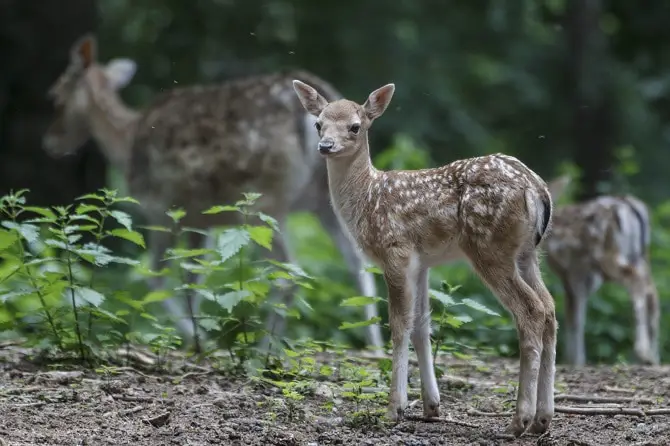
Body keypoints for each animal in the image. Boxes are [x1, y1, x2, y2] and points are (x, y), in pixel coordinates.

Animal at [42, 34, 386, 352]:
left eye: (55, 96)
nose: (51, 142)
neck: (125, 142)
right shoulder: (201, 221)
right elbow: (194, 278)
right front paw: (197, 336)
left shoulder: (162, 209)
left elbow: (156, 275)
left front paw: (197, 340)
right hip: (321, 202)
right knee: (359, 264)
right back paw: (375, 347)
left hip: (264, 201)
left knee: (289, 272)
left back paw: (264, 349)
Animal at [292, 78, 556, 438]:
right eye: (318, 124)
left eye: (355, 126)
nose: (325, 145)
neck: (367, 198)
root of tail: (537, 189)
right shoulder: (422, 262)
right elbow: (421, 325)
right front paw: (431, 406)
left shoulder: (395, 251)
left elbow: (399, 325)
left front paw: (395, 408)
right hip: (528, 254)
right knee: (550, 309)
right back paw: (543, 419)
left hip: (490, 248)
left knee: (531, 311)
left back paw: (519, 421)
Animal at [544, 176, 660, 368]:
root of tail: (630, 205)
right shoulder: (586, 276)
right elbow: (578, 313)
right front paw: (577, 360)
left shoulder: (571, 272)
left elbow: (573, 315)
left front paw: (573, 361)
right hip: (641, 256)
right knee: (652, 291)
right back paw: (653, 357)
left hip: (608, 255)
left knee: (636, 281)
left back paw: (643, 352)